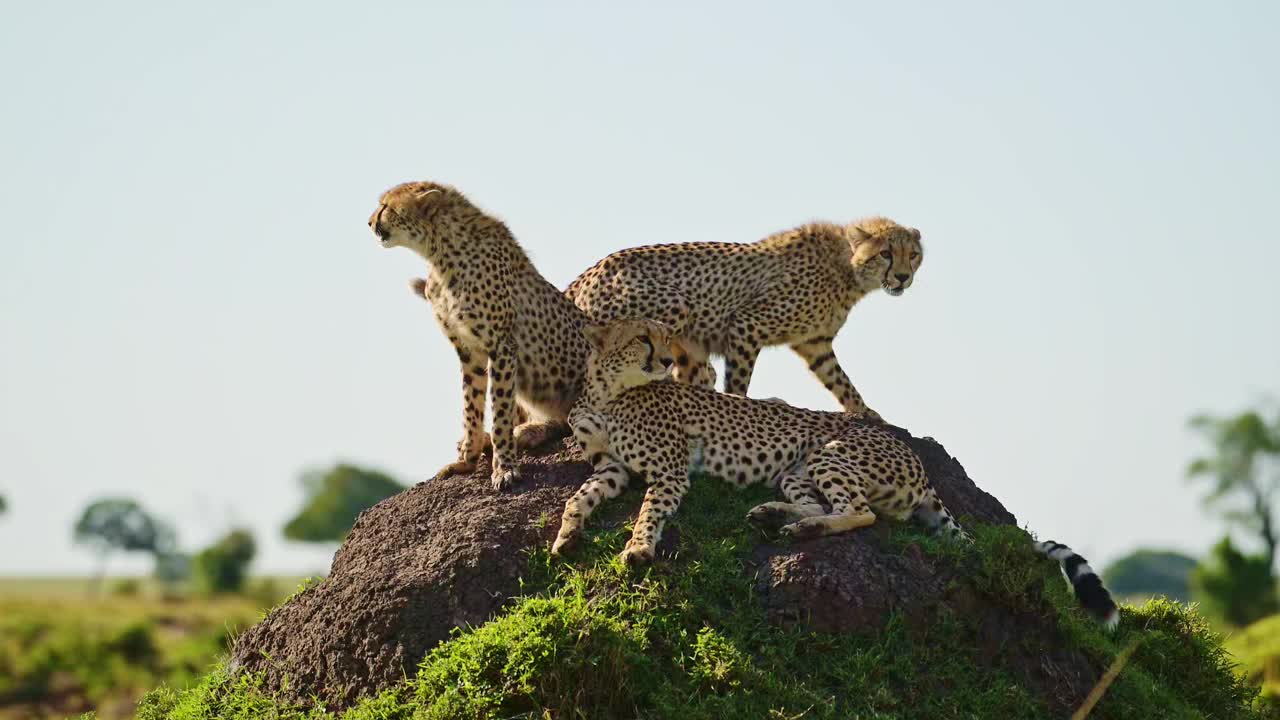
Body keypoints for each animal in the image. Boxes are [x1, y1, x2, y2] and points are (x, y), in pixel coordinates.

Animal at [368, 181, 591, 489]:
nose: (369, 222)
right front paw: (467, 459)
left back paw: (527, 432)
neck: (440, 252)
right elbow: (471, 406)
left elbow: (500, 411)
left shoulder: (501, 345)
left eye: (386, 206)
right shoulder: (468, 350)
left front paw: (504, 468)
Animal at [555, 322, 1116, 625]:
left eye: (665, 338)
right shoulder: (612, 468)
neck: (608, 393)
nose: (668, 359)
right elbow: (578, 496)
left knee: (859, 513)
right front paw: (566, 535)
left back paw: (800, 527)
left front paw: (637, 547)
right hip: (796, 469)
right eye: (642, 338)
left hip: (830, 453)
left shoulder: (670, 471)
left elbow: (649, 510)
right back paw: (775, 516)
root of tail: (916, 462)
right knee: (820, 503)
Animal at [563, 217, 921, 415]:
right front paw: (740, 405)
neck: (846, 266)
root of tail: (587, 274)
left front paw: (867, 412)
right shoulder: (748, 323)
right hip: (677, 305)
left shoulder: (815, 344)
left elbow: (840, 381)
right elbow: (739, 378)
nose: (903, 277)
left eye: (914, 255)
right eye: (885, 253)